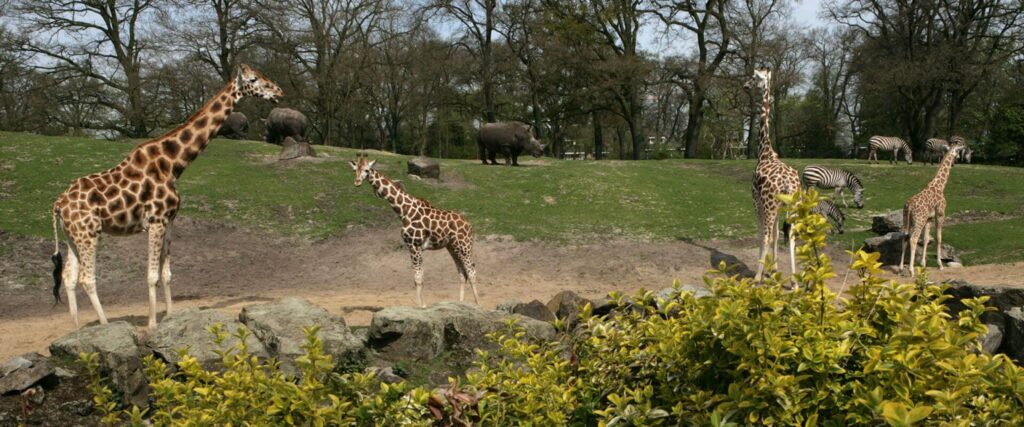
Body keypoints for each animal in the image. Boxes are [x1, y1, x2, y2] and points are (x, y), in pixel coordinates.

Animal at [50, 65, 284, 327]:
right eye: (254, 79)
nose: (279, 91)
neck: (173, 165)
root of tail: (58, 204)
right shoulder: (155, 220)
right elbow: (152, 275)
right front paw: (152, 323)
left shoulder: (170, 220)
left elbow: (166, 273)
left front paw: (171, 317)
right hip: (88, 233)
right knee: (86, 278)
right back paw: (105, 325)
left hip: (72, 236)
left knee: (68, 276)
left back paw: (77, 327)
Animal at [348, 153, 479, 307]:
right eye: (355, 169)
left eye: (367, 170)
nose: (357, 182)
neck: (404, 211)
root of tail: (469, 225)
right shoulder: (411, 246)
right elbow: (417, 278)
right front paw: (423, 305)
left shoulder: (415, 245)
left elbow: (418, 278)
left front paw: (420, 306)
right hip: (452, 247)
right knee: (462, 273)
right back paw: (460, 304)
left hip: (464, 246)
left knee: (472, 271)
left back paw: (478, 304)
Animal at [897, 138, 966, 274]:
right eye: (958, 150)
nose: (957, 160)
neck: (940, 186)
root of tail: (909, 206)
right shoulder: (940, 214)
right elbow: (939, 238)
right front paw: (940, 265)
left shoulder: (929, 218)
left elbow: (926, 239)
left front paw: (923, 264)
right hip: (918, 220)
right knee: (913, 239)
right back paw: (911, 270)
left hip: (906, 219)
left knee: (904, 237)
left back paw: (901, 268)